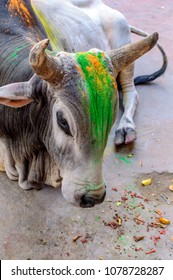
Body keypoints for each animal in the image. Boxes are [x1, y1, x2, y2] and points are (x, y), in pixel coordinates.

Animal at [0, 0, 166, 206]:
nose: (92, 197)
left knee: (131, 93)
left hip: (126, 56)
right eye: (63, 121)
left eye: (110, 120)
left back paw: (126, 128)